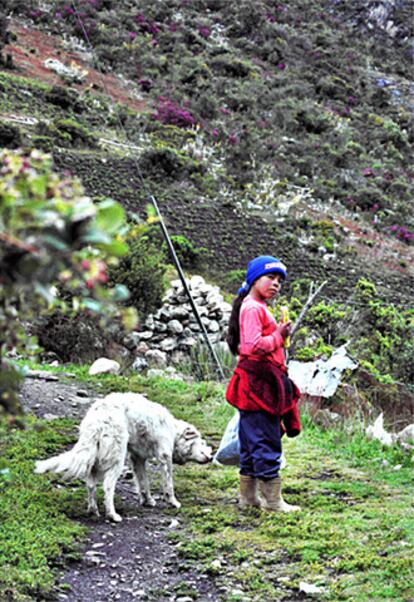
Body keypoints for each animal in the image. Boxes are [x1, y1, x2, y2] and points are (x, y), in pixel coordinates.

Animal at [34, 392, 212, 516]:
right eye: (202, 443)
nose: (211, 457)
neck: (172, 430)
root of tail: (97, 418)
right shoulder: (164, 457)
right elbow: (168, 486)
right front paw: (173, 503)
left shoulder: (138, 459)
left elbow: (143, 483)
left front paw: (148, 501)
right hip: (117, 459)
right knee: (107, 486)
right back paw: (112, 515)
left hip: (95, 461)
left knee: (90, 485)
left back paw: (93, 511)